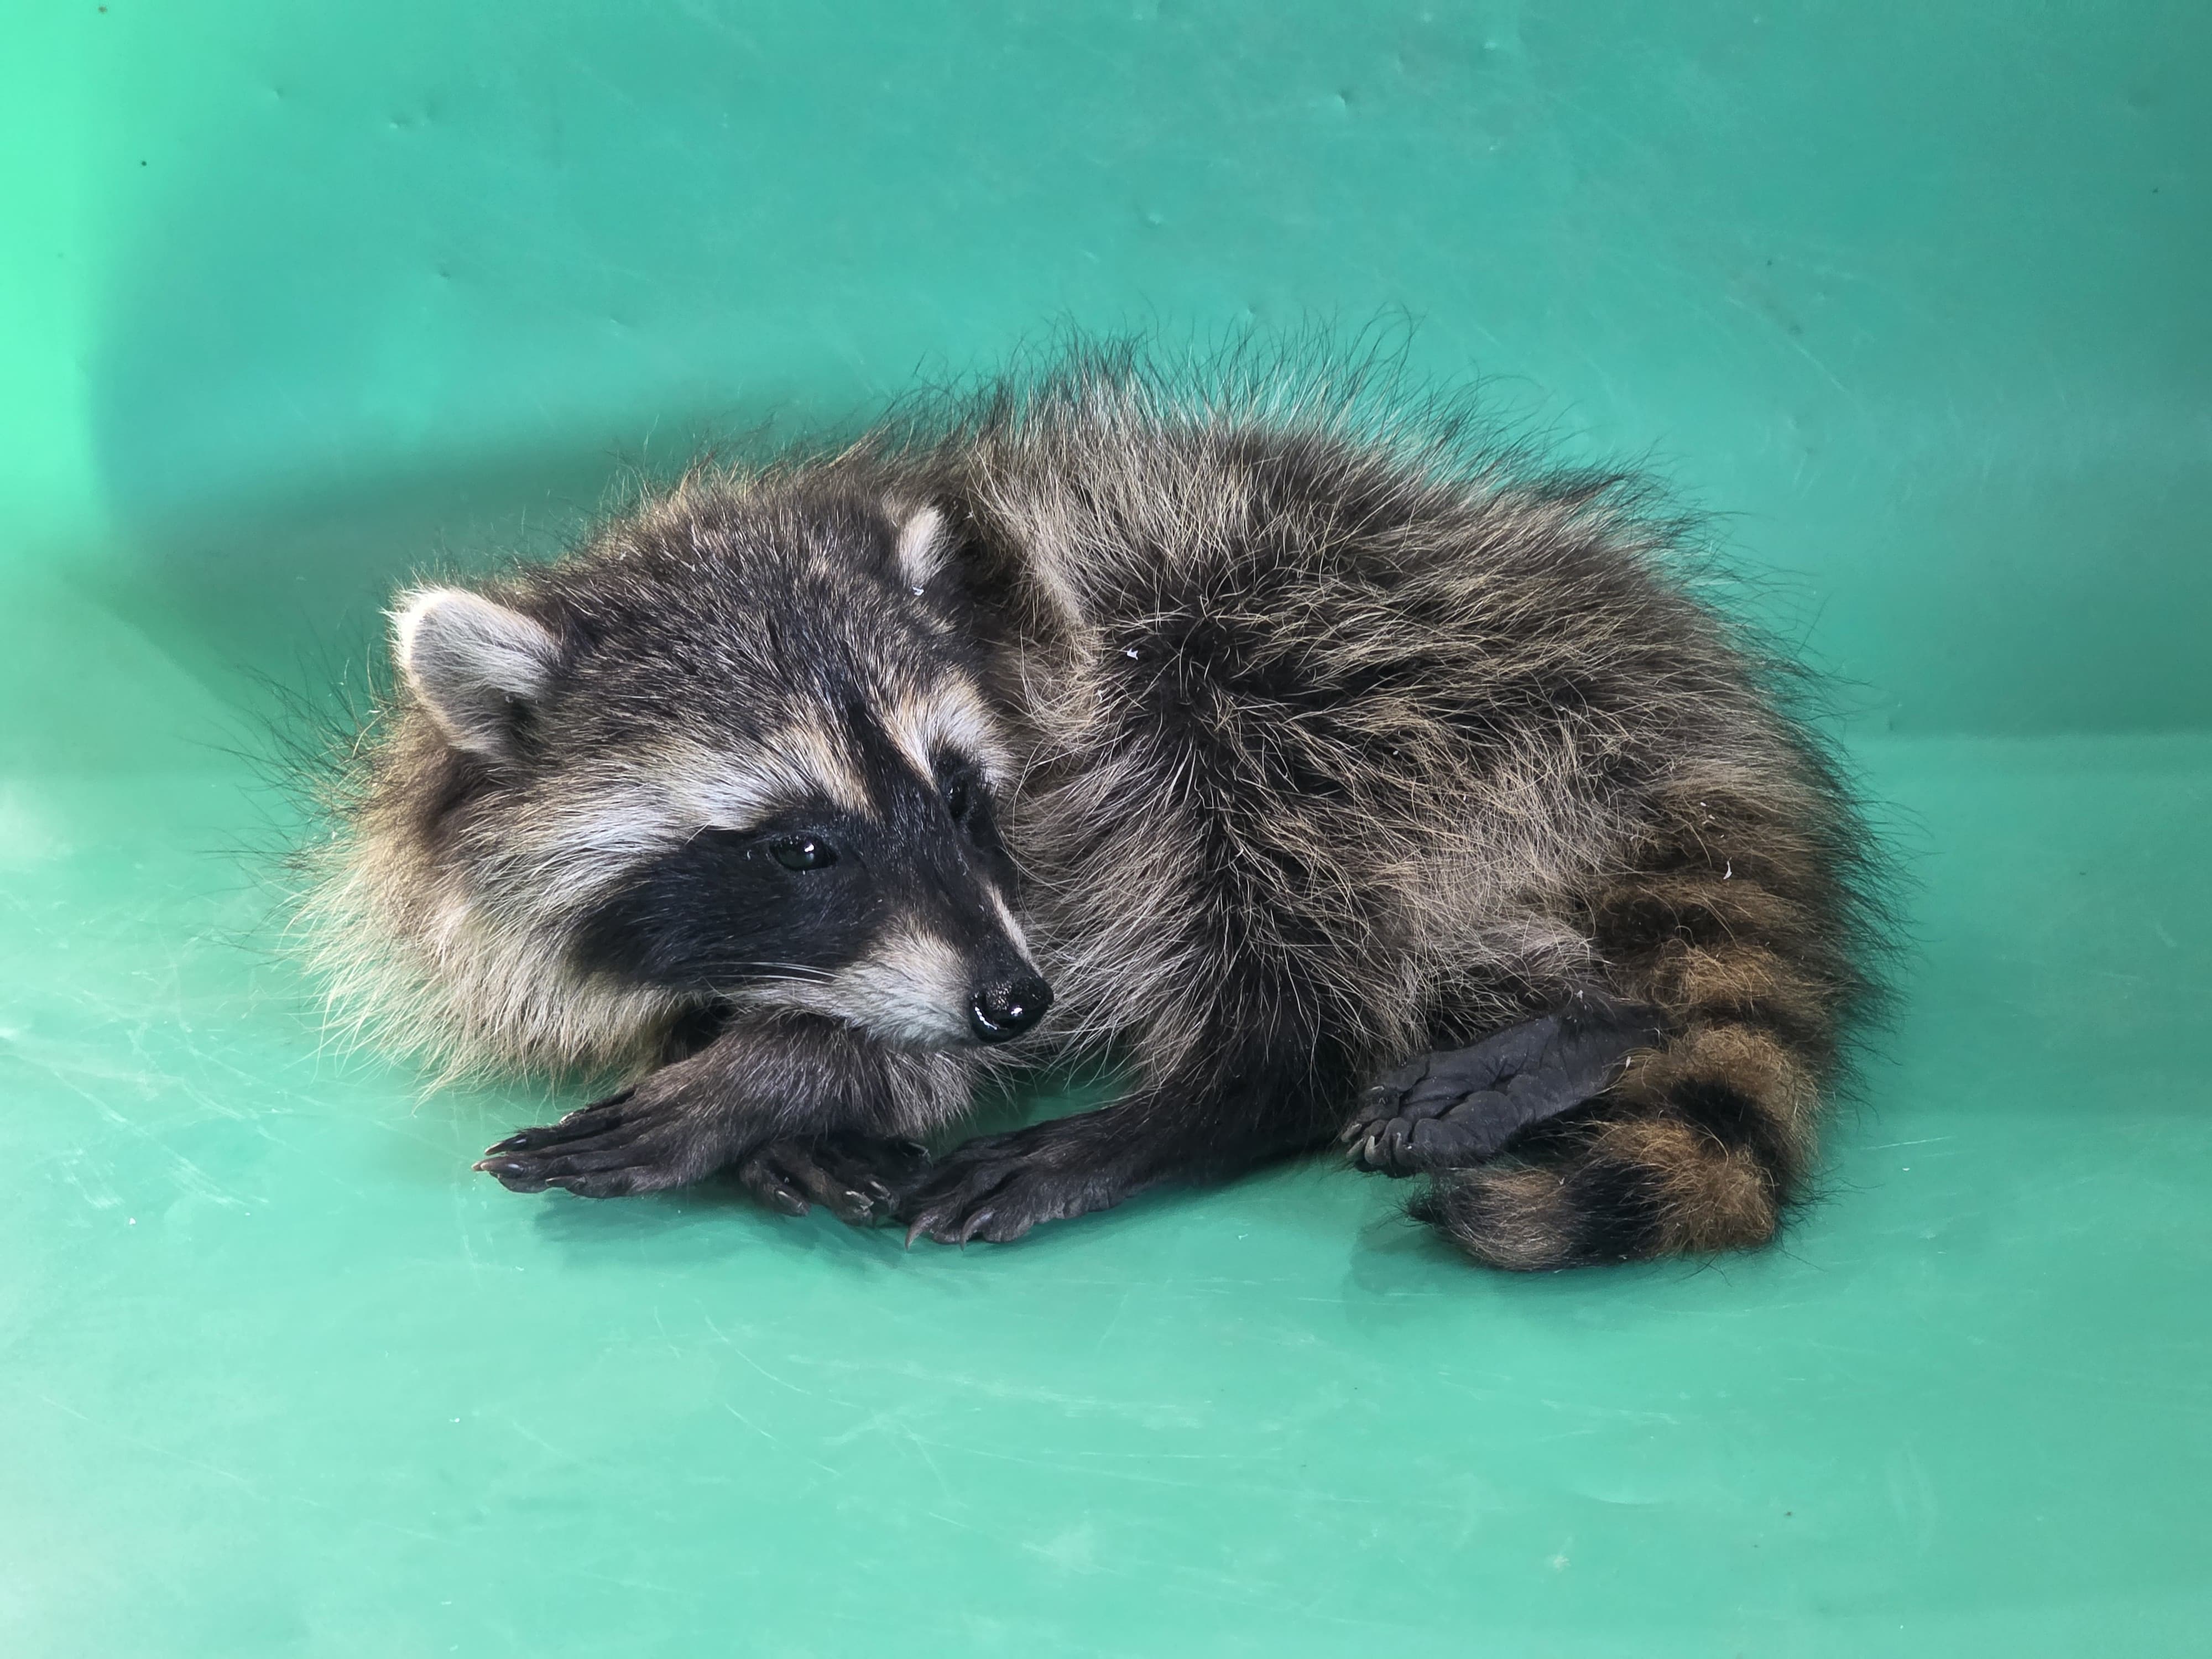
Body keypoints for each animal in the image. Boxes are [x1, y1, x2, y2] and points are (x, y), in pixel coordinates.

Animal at [303, 348, 1884, 1270]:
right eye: (807, 846)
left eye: (962, 798)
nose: (1010, 997)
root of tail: (1695, 702)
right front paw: (758, 1071)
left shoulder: (1077, 794)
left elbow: (1012, 985)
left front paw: (775, 1078)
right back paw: (1581, 1011)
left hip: (1370, 651)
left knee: (1278, 845)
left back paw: (1246, 1084)